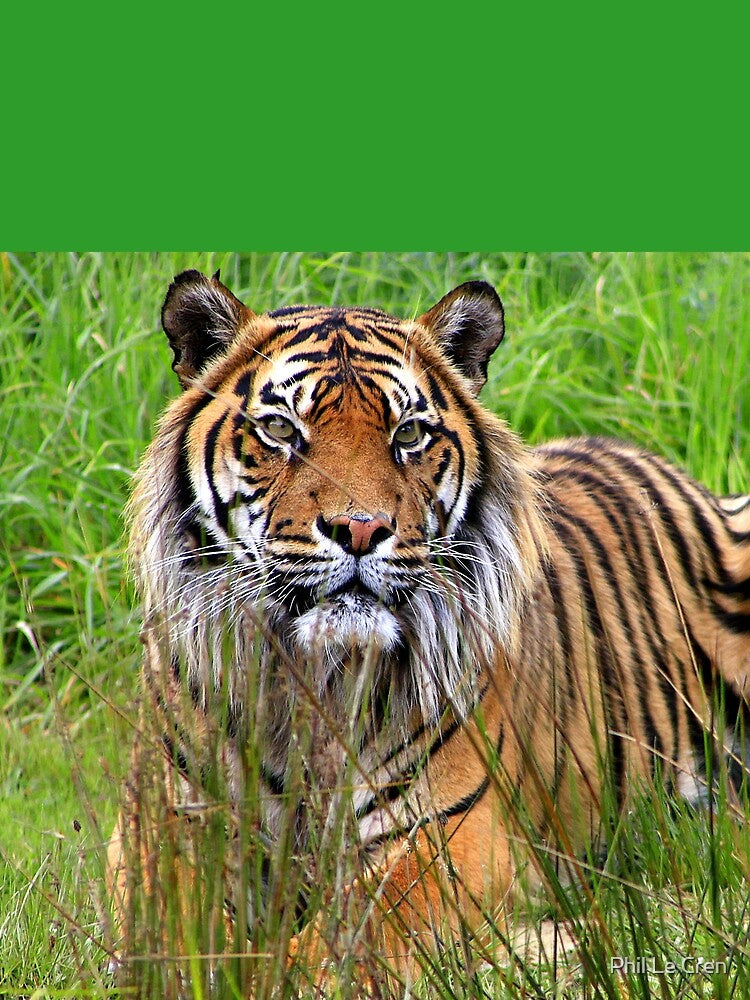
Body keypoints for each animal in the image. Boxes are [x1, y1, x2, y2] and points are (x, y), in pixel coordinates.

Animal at [107, 269, 750, 993]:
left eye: (409, 434)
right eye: (279, 429)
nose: (360, 528)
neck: (312, 680)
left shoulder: (449, 832)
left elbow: (347, 934)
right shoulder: (166, 820)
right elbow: (170, 927)